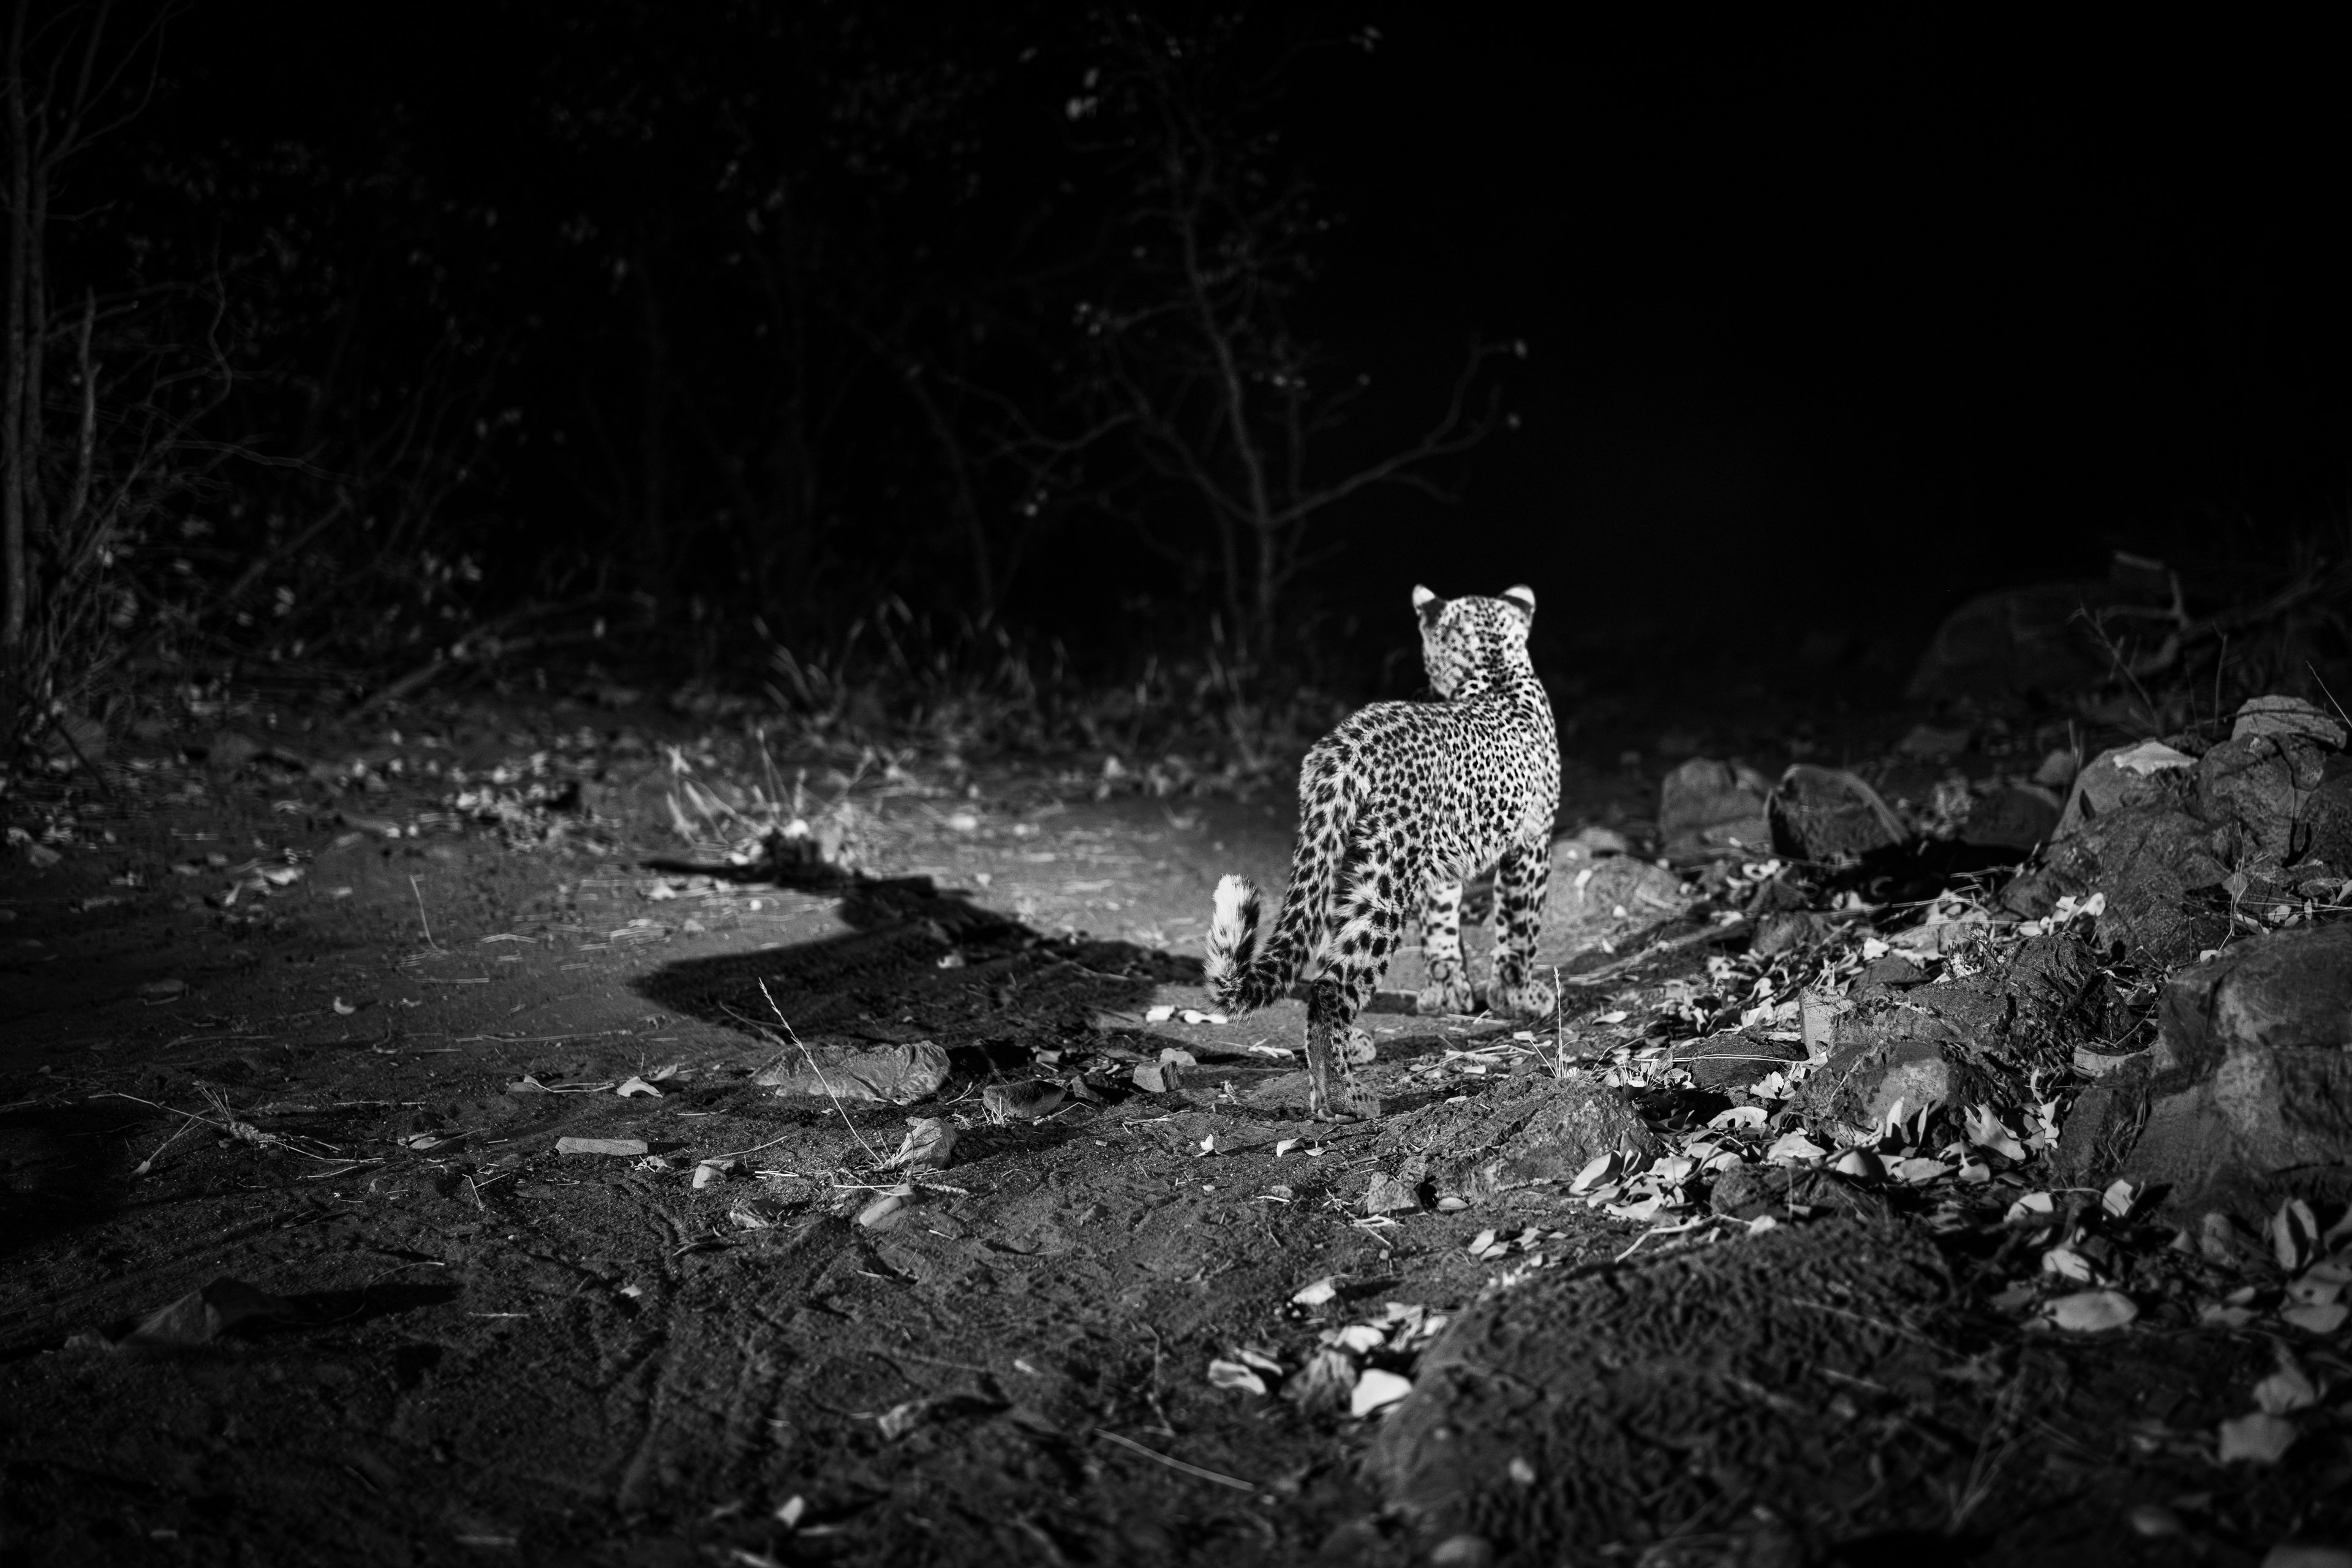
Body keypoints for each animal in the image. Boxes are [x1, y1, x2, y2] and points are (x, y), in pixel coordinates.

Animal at [1203, 584, 1561, 1120]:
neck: (1492, 667)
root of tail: (1346, 747)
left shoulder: (1442, 861)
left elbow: (1441, 928)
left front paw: (1447, 992)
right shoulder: (1532, 841)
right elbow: (1520, 927)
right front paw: (1518, 997)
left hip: (1340, 860)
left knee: (1324, 960)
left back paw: (1341, 1065)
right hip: (1387, 876)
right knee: (1331, 987)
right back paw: (1347, 1098)